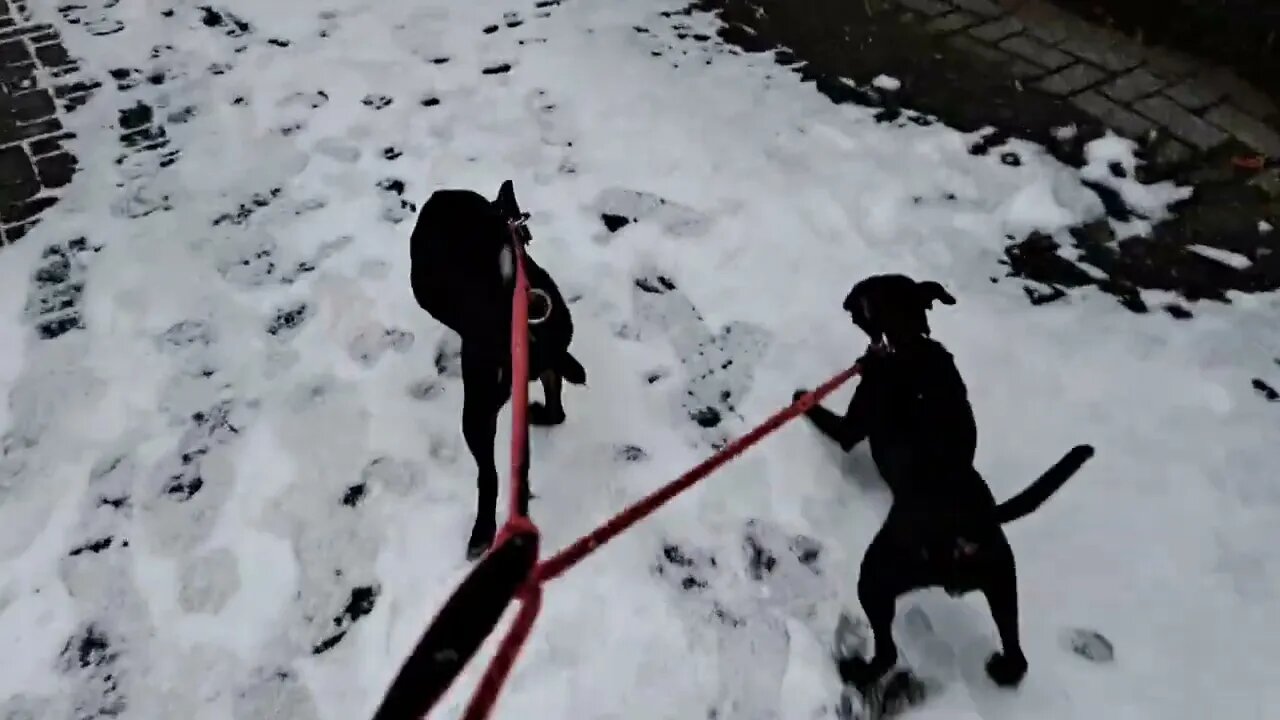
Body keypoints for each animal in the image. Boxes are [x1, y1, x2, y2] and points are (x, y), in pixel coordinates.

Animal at [409, 179, 586, 561]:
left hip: (477, 405)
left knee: (488, 476)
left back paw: (483, 532)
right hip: (541, 363)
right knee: (556, 404)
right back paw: (540, 412)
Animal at [793, 272, 1095, 691]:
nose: (846, 302)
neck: (907, 340)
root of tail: (969, 527)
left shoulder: (852, 426)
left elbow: (828, 419)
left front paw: (801, 397)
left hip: (877, 574)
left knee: (887, 653)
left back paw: (857, 670)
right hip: (1003, 582)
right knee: (1018, 655)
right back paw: (1002, 670)